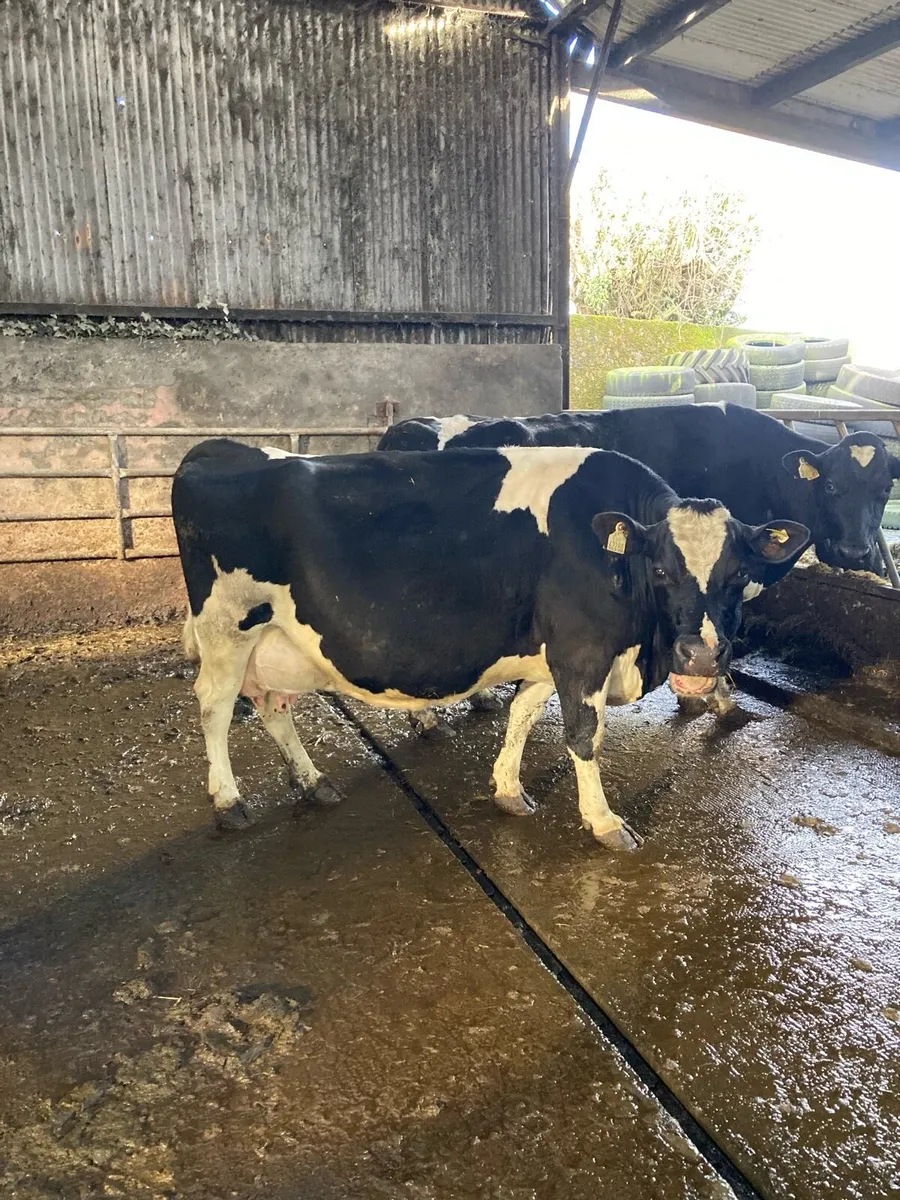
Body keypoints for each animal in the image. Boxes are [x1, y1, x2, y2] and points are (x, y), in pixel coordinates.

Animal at [172, 438, 808, 851]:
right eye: (661, 571)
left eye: (737, 574)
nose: (701, 656)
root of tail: (220, 448)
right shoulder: (581, 651)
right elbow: (584, 734)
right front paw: (604, 822)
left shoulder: (550, 657)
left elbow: (523, 712)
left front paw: (508, 790)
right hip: (227, 625)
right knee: (215, 705)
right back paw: (228, 801)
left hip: (273, 641)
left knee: (271, 705)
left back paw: (312, 782)